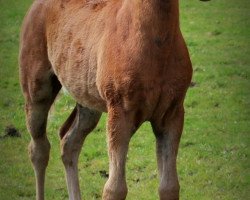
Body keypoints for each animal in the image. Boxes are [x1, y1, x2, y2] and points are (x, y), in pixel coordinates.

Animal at [20, 0, 191, 199]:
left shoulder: (171, 115)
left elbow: (169, 186)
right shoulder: (119, 113)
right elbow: (115, 188)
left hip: (87, 103)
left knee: (69, 143)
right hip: (37, 92)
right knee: (38, 149)